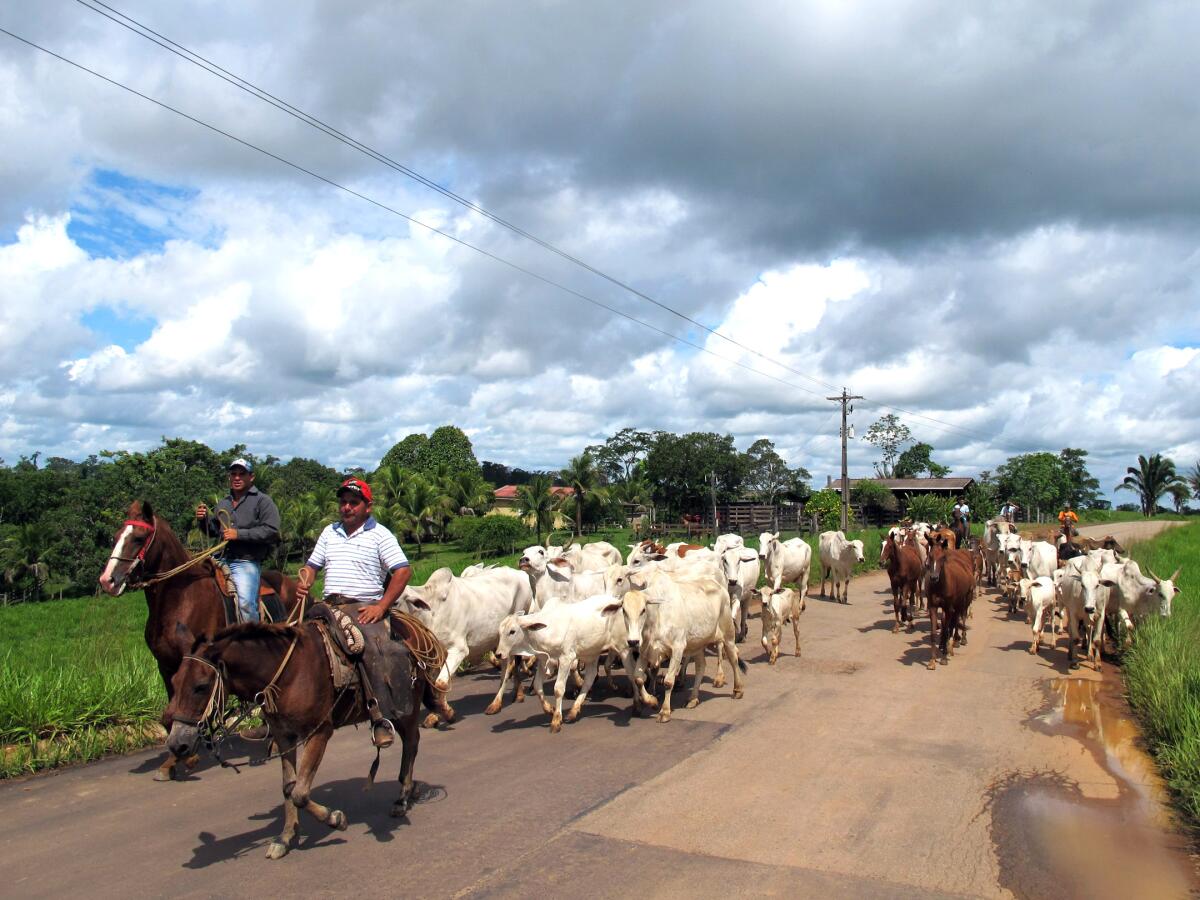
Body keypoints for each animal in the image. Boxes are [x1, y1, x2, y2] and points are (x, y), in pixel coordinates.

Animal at [100, 501, 302, 782]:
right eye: (116, 536)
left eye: (139, 538)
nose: (107, 581)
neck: (181, 598)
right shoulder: (167, 666)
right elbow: (171, 712)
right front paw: (172, 761)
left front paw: (191, 754)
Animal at [164, 619, 432, 859]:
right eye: (174, 682)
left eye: (200, 686)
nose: (177, 744)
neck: (288, 674)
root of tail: (415, 627)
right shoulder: (284, 735)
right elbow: (288, 787)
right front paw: (285, 837)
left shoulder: (319, 732)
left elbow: (300, 793)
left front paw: (334, 818)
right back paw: (411, 789)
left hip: (406, 708)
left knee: (412, 742)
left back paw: (402, 797)